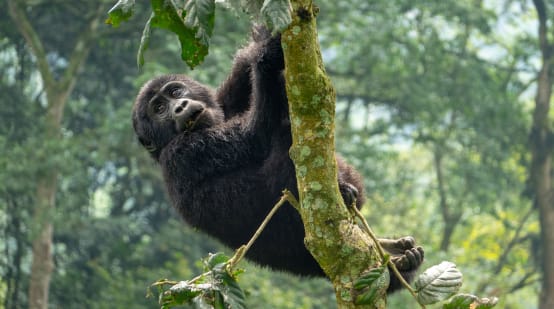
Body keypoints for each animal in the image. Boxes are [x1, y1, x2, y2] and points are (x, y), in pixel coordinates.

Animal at [133, 26, 422, 292]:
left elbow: (244, 67)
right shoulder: (185, 152)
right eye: (159, 109)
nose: (179, 107)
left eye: (175, 92)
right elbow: (257, 133)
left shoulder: (223, 102)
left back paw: (394, 252)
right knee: (285, 139)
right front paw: (267, 56)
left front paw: (266, 38)